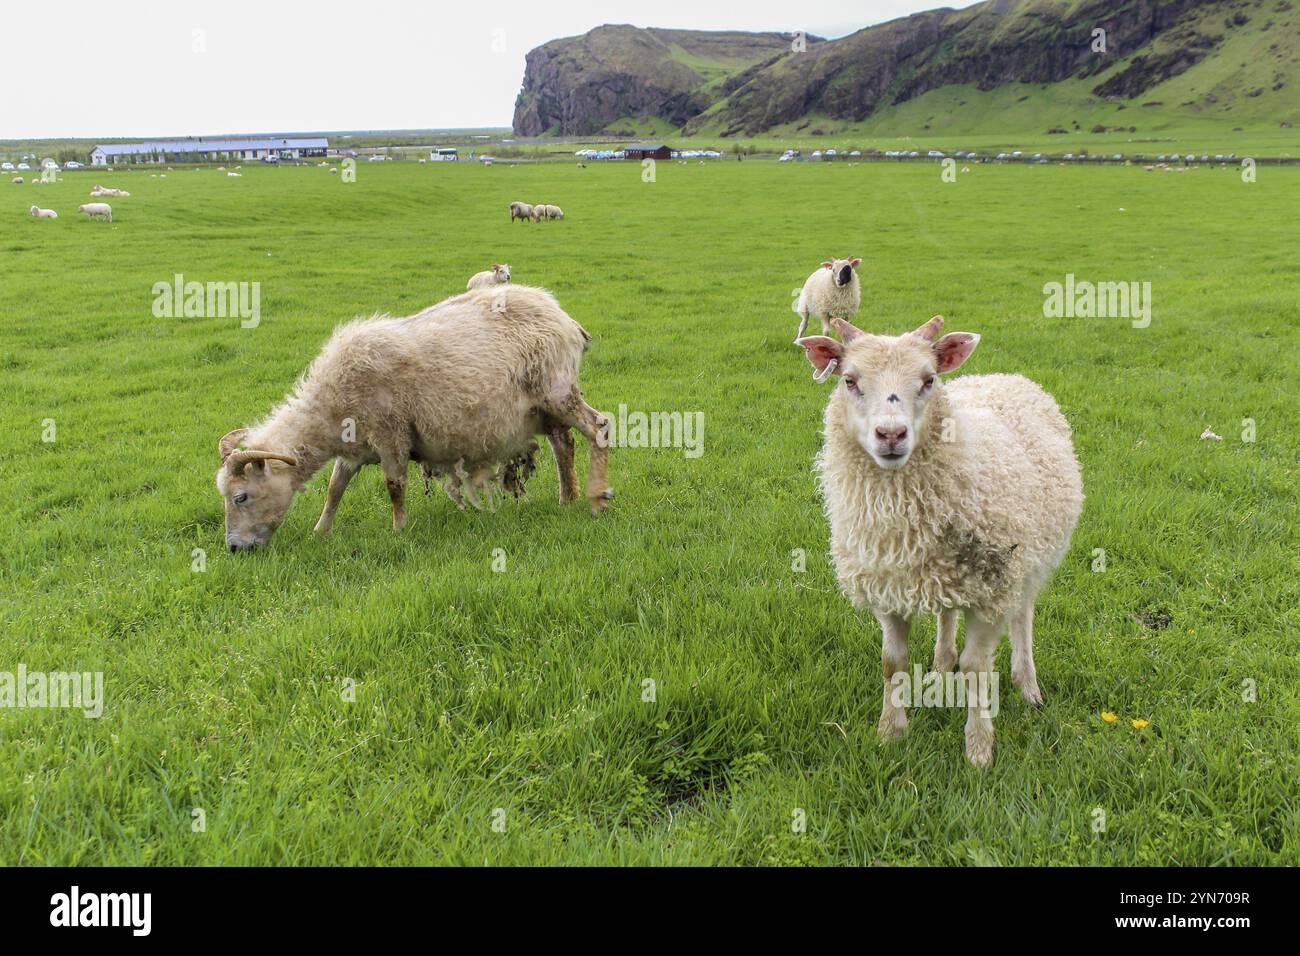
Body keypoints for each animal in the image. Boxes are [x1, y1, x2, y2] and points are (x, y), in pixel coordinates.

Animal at [214, 284, 614, 551]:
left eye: (241, 497)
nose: (233, 548)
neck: (331, 404)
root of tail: (564, 317)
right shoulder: (353, 446)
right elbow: (335, 488)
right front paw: (321, 530)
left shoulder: (391, 434)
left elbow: (394, 486)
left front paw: (398, 530)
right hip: (543, 409)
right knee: (564, 444)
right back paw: (566, 498)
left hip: (558, 392)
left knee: (597, 429)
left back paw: (594, 498)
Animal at [795, 314, 1083, 768]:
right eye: (849, 381)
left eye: (929, 379)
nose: (890, 434)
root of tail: (1004, 376)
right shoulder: (889, 587)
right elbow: (891, 662)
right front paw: (890, 733)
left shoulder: (991, 590)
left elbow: (977, 668)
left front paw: (979, 749)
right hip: (944, 572)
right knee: (947, 615)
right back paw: (940, 664)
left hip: (1029, 561)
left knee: (1023, 616)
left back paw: (1027, 685)